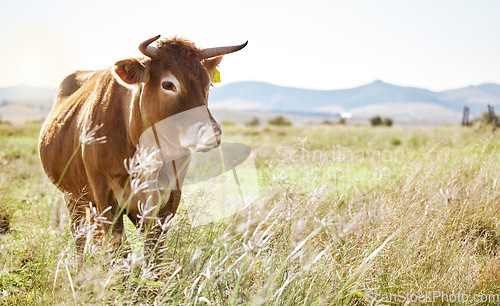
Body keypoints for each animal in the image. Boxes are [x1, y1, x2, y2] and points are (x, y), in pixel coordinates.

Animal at [39, 35, 248, 258]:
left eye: (207, 83)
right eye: (168, 84)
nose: (211, 132)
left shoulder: (166, 200)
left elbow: (154, 249)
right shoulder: (105, 199)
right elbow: (121, 250)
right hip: (72, 197)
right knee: (79, 238)